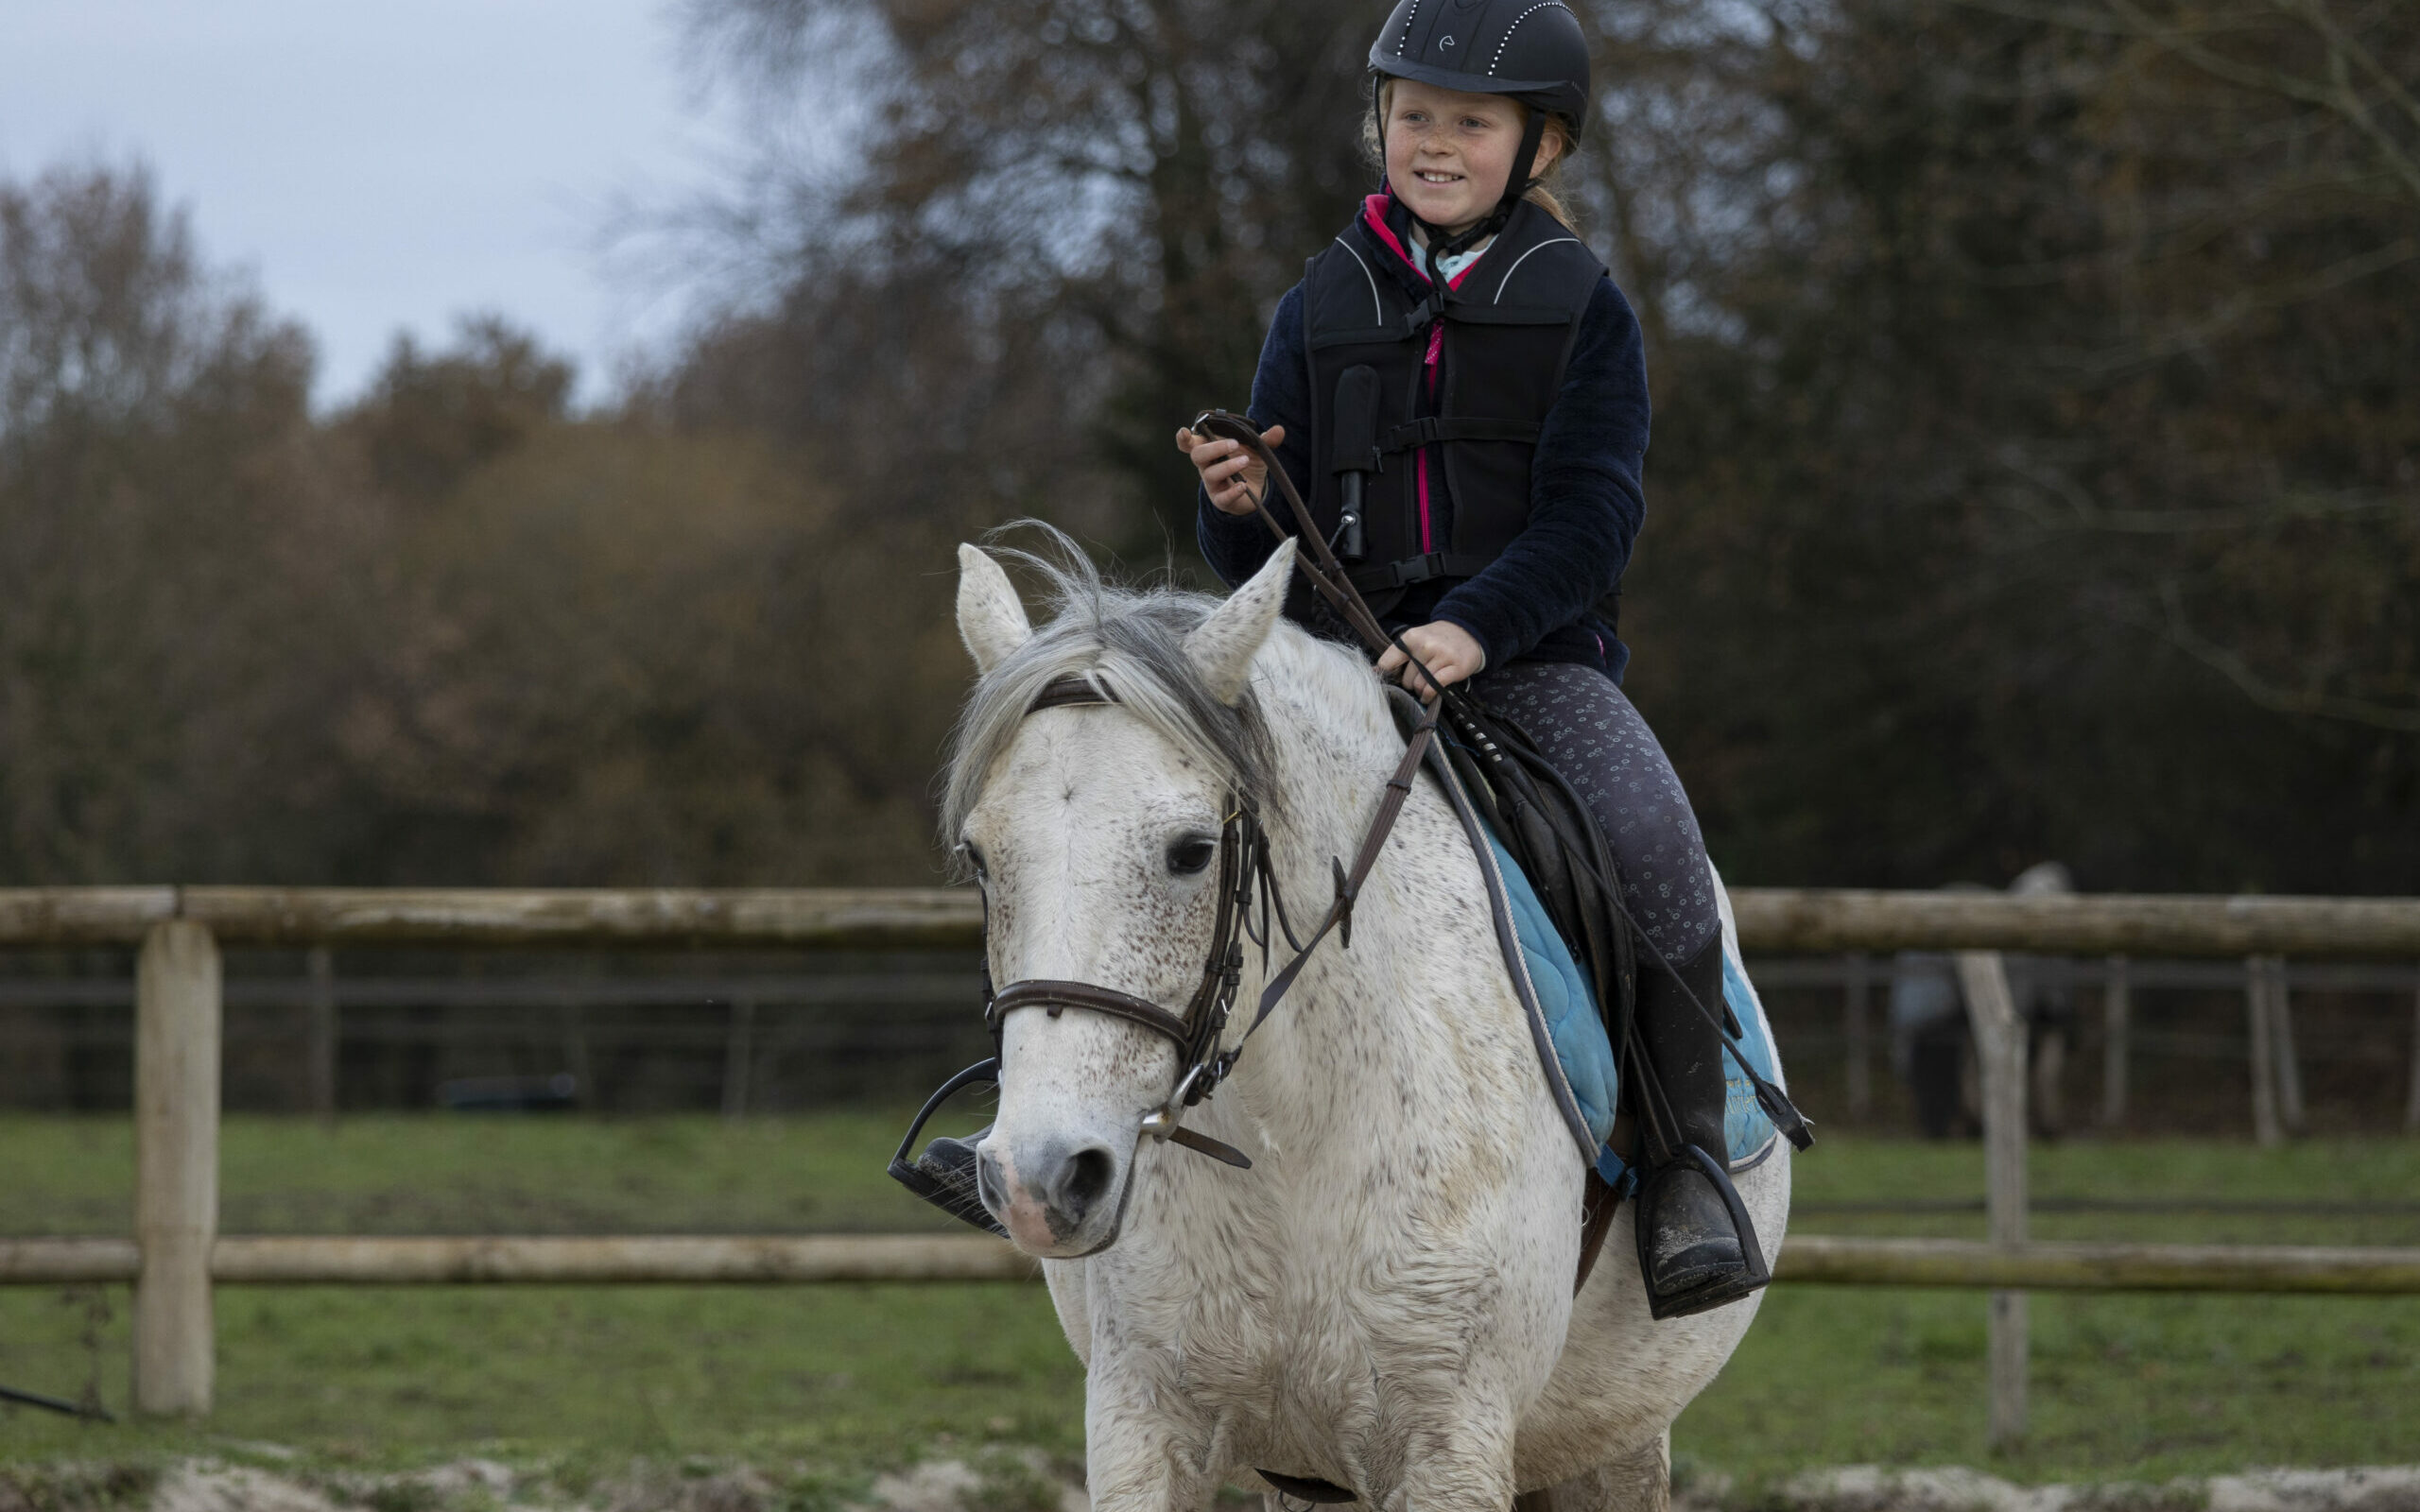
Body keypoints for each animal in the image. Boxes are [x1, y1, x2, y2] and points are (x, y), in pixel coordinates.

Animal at [953, 537, 1790, 1509]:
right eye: (979, 857)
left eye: (1192, 851)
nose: (1041, 1180)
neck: (1292, 1138)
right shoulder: (1142, 1425)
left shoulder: (1449, 1447)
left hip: (1616, 1432)